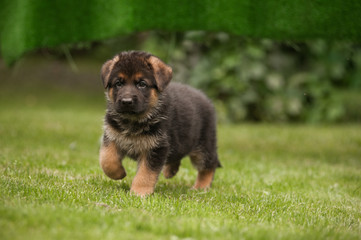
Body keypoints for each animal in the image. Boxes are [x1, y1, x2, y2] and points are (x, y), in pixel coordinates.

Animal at [98, 51, 219, 196]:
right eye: (118, 83)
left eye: (142, 84)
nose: (126, 101)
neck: (133, 121)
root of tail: (207, 100)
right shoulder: (112, 136)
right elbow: (106, 159)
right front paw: (118, 173)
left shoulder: (156, 148)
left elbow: (145, 173)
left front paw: (139, 193)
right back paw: (170, 171)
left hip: (203, 146)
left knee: (209, 165)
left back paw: (201, 187)